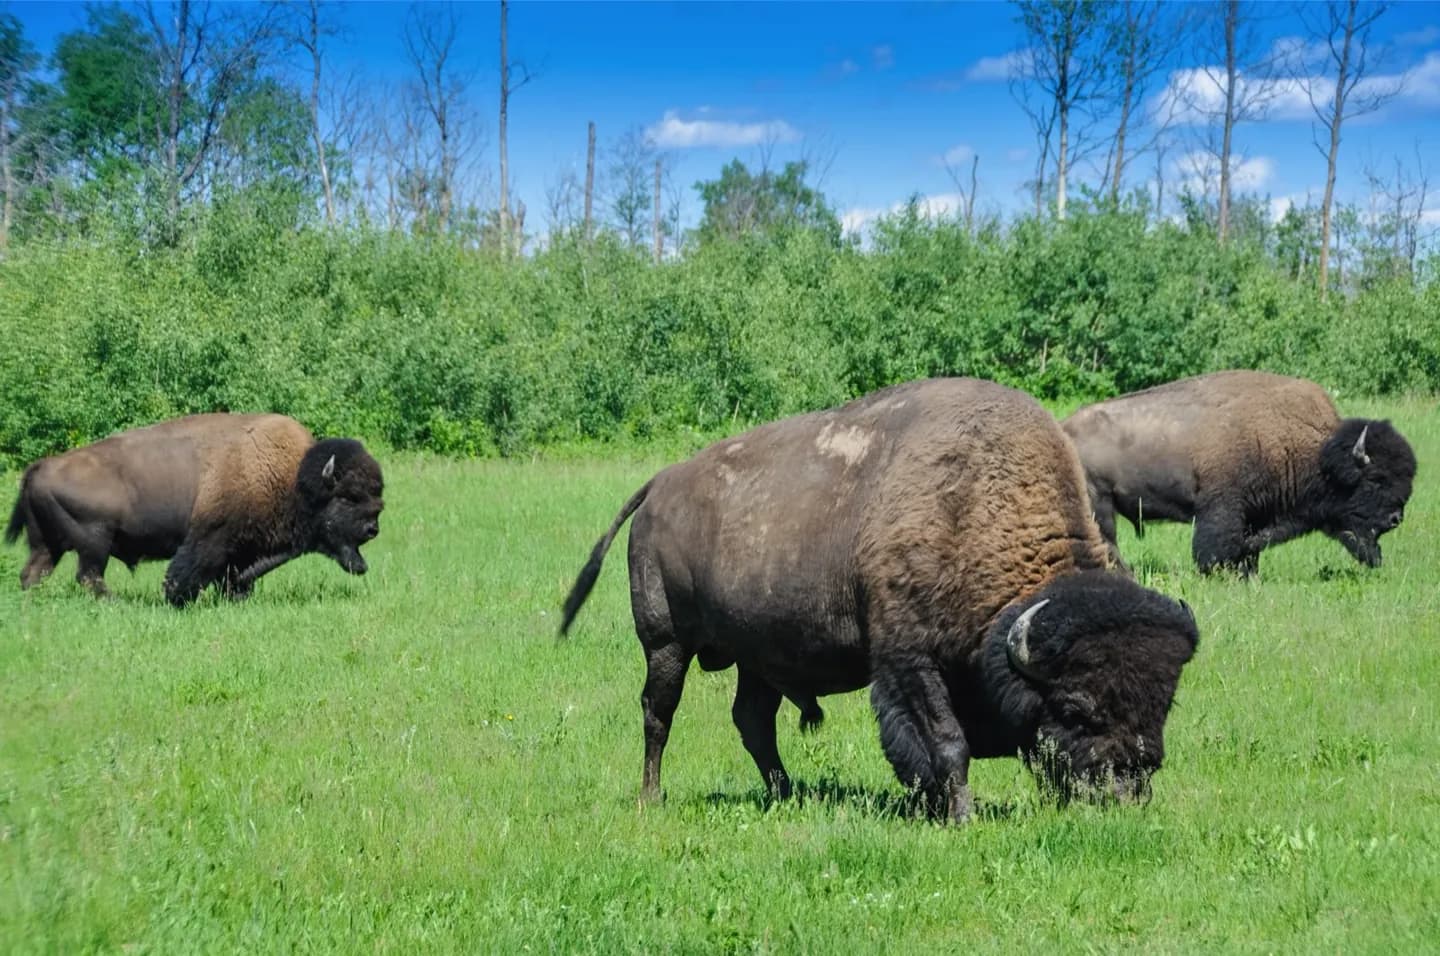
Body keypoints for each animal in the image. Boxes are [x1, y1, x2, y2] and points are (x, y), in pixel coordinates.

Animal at [6, 413, 384, 606]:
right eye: (350, 497)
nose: (373, 529)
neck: (294, 479)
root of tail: (40, 467)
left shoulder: (242, 552)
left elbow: (235, 578)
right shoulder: (210, 539)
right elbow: (186, 573)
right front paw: (176, 601)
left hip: (48, 546)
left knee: (33, 573)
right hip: (94, 543)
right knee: (88, 575)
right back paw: (116, 603)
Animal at [561, 378, 1199, 822]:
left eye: (1163, 703)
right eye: (1074, 707)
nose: (1125, 793)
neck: (972, 507)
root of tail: (659, 486)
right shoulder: (909, 662)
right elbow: (947, 743)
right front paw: (961, 817)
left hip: (757, 657)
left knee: (752, 720)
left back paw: (787, 794)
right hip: (666, 643)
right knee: (658, 713)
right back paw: (652, 798)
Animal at [1062, 371, 1416, 574]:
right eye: (1376, 480)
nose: (1395, 518)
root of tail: (1064, 428)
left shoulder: (1258, 513)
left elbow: (1250, 549)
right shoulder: (1223, 509)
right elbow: (1215, 548)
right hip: (1099, 503)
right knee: (1106, 541)